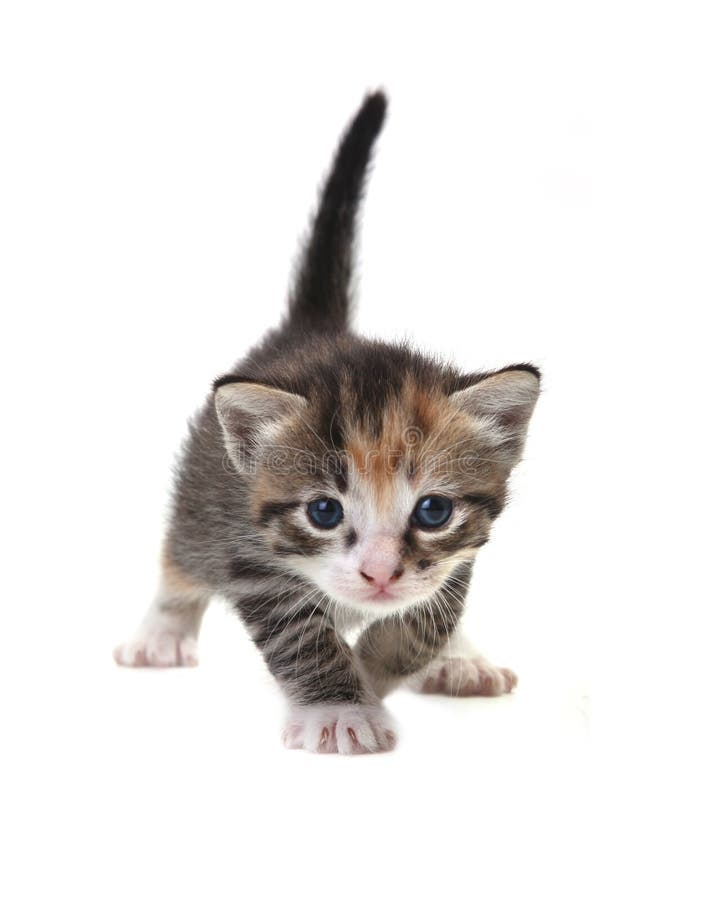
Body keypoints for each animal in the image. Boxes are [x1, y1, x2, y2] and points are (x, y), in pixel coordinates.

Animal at [115, 91, 540, 752]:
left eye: (433, 511)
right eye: (323, 511)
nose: (380, 574)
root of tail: (313, 328)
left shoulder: (460, 553)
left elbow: (429, 618)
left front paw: (375, 668)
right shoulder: (252, 560)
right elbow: (303, 636)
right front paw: (342, 707)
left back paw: (459, 659)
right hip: (202, 504)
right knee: (180, 558)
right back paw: (161, 633)